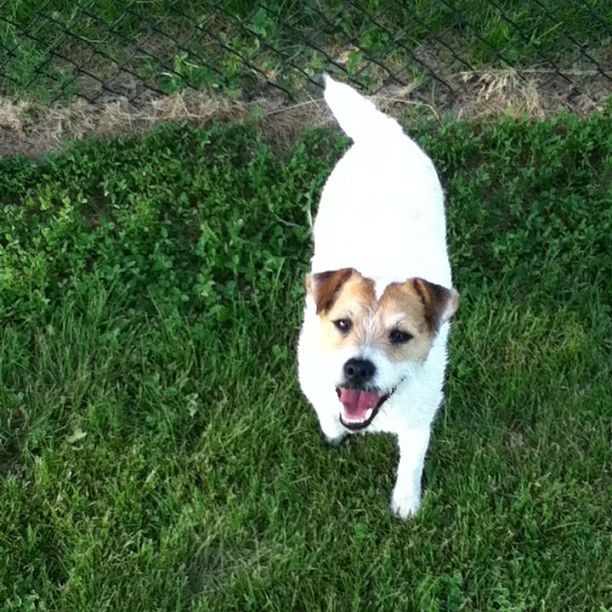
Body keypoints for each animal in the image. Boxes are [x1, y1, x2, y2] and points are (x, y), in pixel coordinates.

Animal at [296, 74, 460, 520]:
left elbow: (412, 461)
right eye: (342, 324)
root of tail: (382, 134)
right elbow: (326, 414)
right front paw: (334, 433)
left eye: (400, 336)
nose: (357, 368)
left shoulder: (420, 419)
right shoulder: (315, 383)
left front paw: (406, 501)